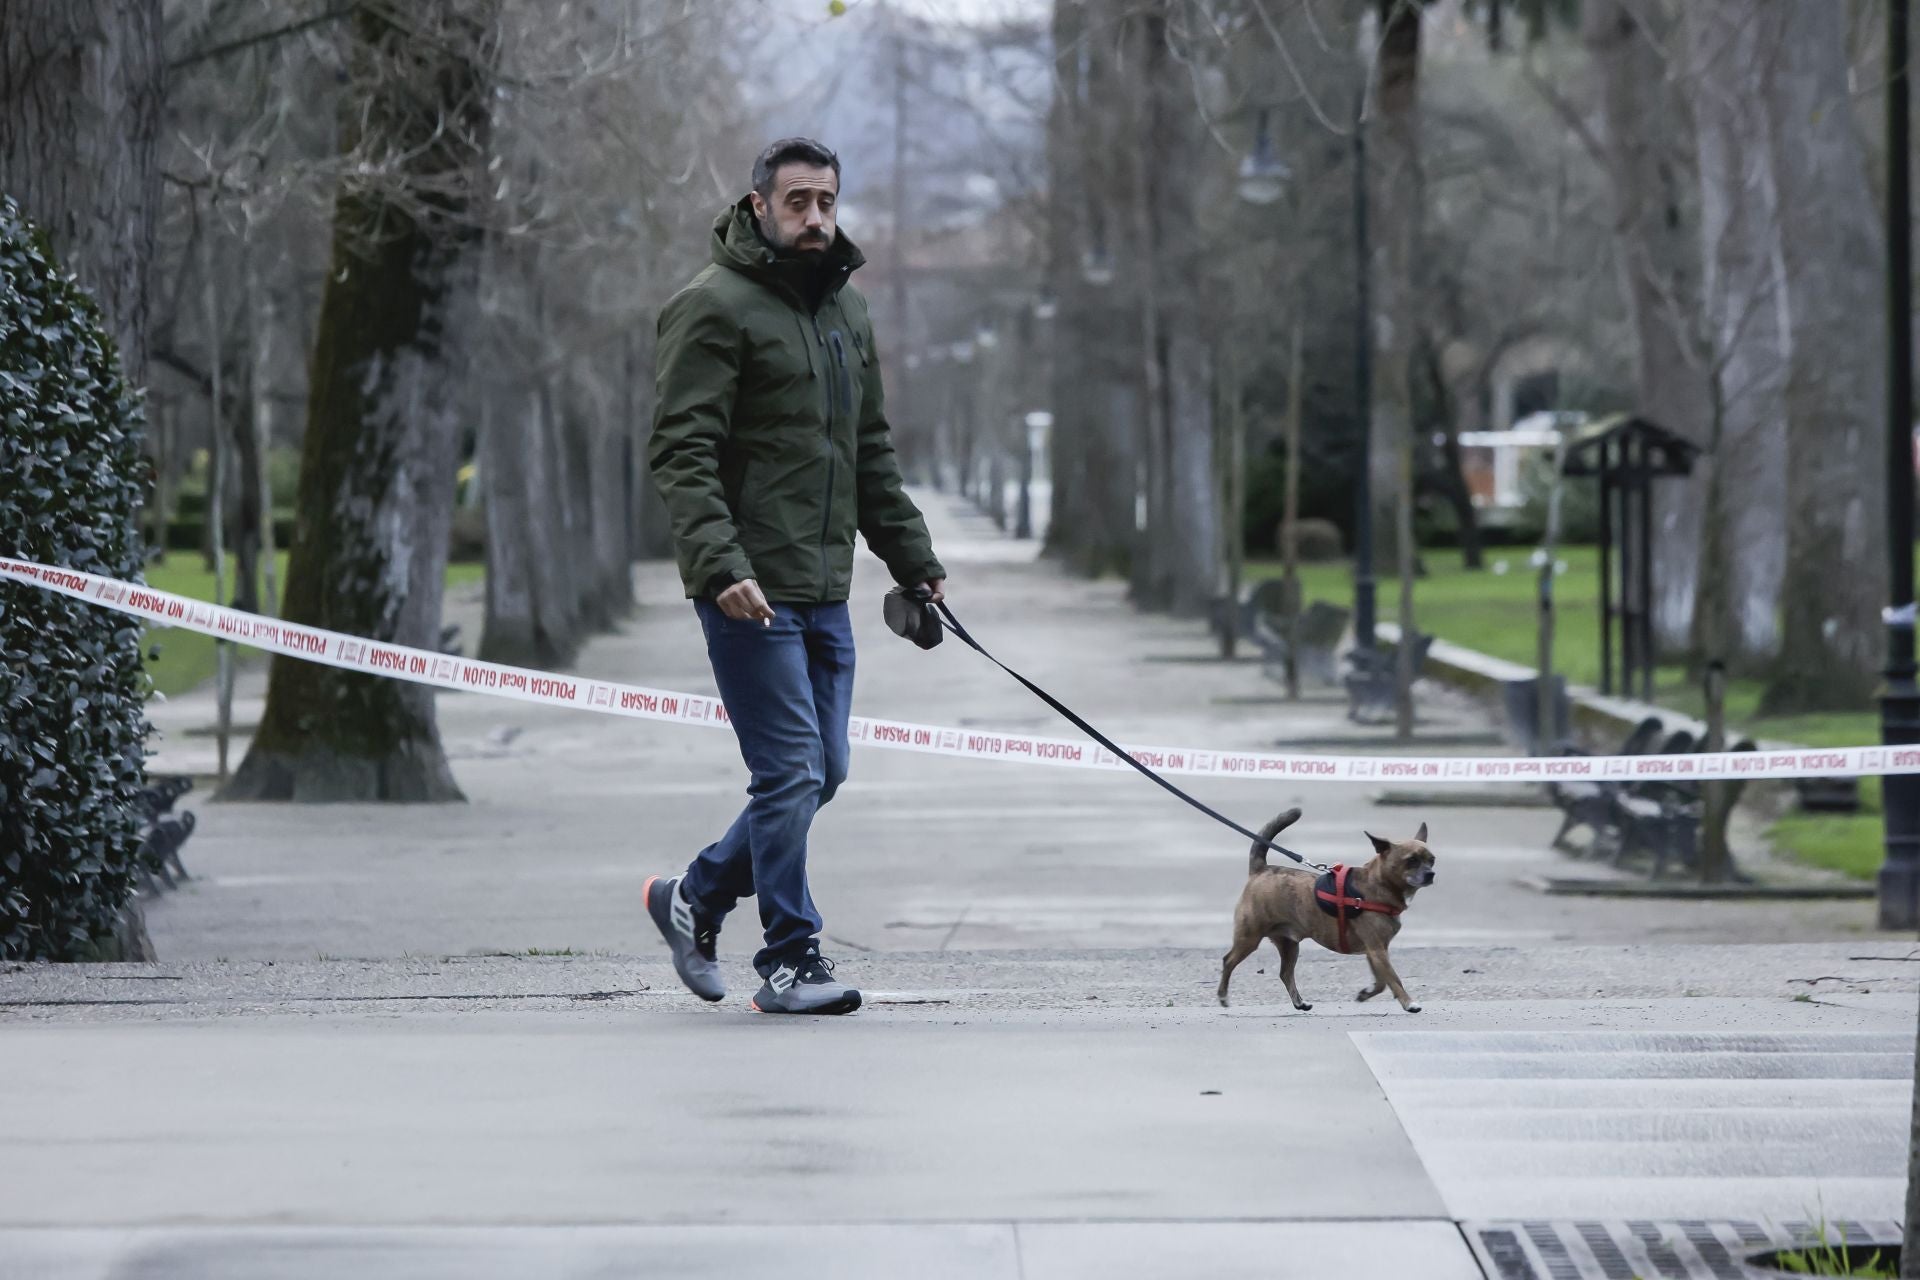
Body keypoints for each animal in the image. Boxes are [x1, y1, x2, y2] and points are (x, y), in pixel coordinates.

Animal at [1221, 809, 1436, 1013]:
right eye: (1411, 860)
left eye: (1432, 860)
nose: (1431, 874)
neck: (1377, 883)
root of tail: (1261, 869)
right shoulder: (1377, 950)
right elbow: (1394, 978)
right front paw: (1409, 1003)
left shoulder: (1375, 951)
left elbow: (1382, 982)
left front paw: (1365, 993)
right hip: (1249, 938)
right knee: (1228, 961)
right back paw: (1222, 996)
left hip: (1289, 945)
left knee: (1285, 973)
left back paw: (1299, 1002)